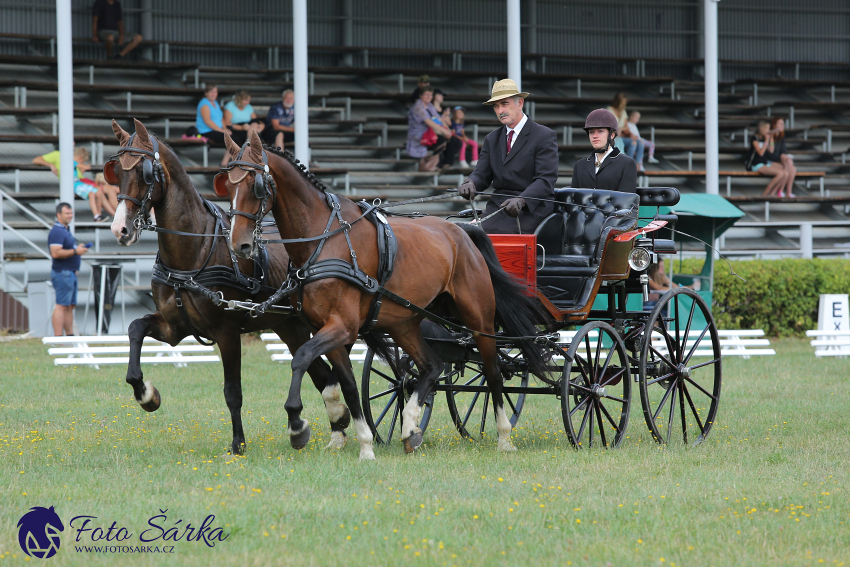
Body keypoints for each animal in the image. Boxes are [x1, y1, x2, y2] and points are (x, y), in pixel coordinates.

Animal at [105, 118, 352, 452]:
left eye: (144, 172)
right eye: (116, 171)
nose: (120, 229)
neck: (194, 252)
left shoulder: (227, 331)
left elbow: (232, 391)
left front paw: (238, 444)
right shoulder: (173, 327)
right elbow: (135, 329)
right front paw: (147, 395)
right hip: (290, 327)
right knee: (321, 374)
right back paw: (332, 427)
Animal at [217, 133, 548, 462]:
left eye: (255, 185)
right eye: (227, 186)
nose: (239, 245)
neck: (325, 241)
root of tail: (462, 231)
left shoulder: (343, 326)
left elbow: (301, 358)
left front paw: (297, 425)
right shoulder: (328, 327)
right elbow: (346, 385)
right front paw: (359, 438)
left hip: (479, 319)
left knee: (493, 373)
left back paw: (504, 437)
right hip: (404, 323)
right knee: (431, 366)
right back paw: (410, 429)